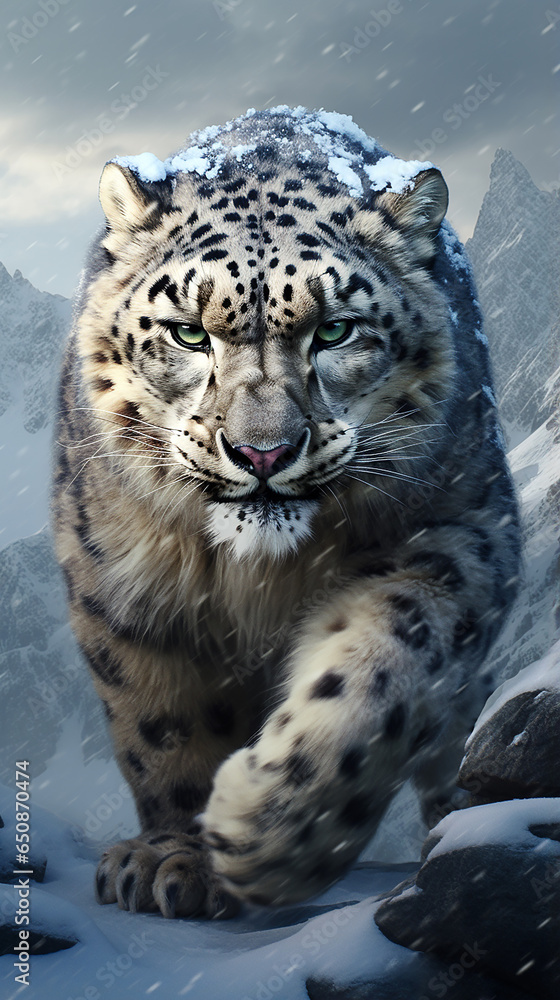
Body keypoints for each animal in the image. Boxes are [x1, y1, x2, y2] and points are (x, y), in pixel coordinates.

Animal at [51, 106, 521, 919]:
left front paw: (269, 832)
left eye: (334, 330)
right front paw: (177, 858)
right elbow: (162, 728)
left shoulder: (459, 532)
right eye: (188, 331)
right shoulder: (120, 583)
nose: (262, 452)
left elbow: (386, 670)